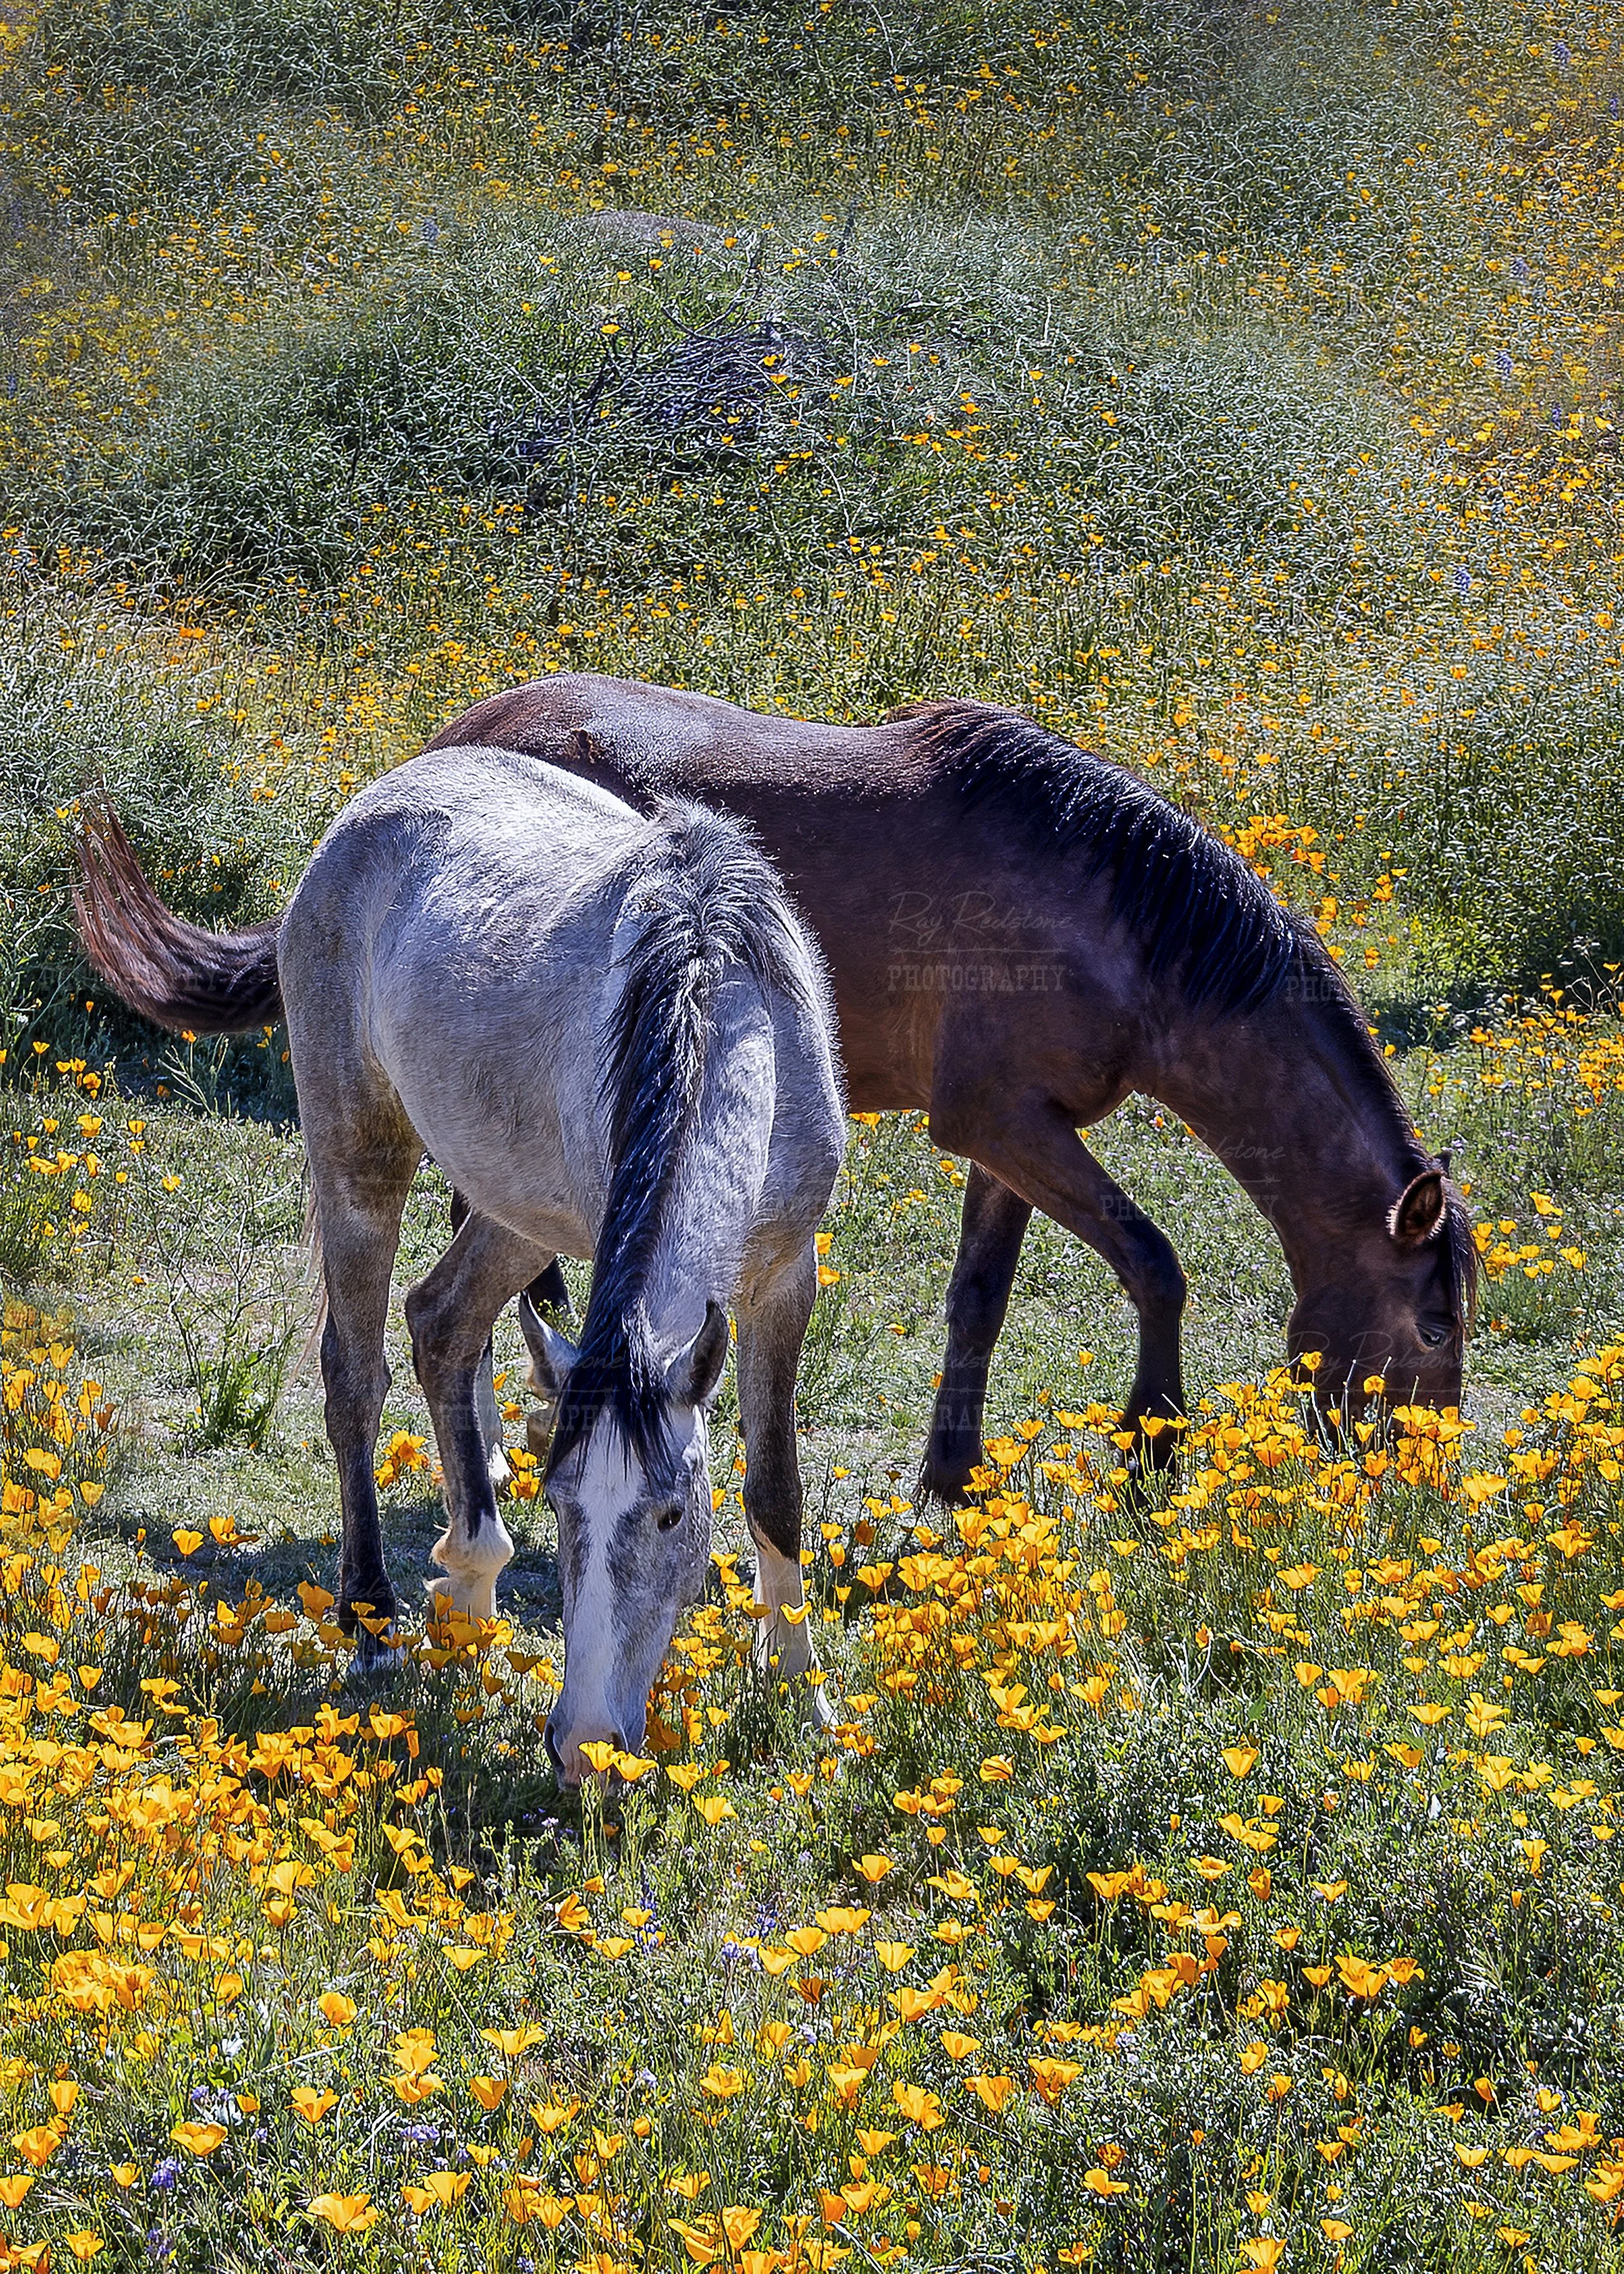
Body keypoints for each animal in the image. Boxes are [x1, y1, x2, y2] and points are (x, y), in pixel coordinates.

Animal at [73, 750, 846, 1783]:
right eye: (562, 1504)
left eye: (673, 1516)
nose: (584, 1746)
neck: (721, 1002)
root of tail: (366, 810)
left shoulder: (786, 1276)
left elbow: (776, 1490)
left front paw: (803, 1698)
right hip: (362, 1158)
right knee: (356, 1375)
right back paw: (376, 1625)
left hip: (514, 1213)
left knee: (442, 1323)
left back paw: (473, 1596)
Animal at [420, 674, 1476, 1493]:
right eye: (1432, 1327)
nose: (1418, 1471)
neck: (1115, 926)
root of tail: (452, 741)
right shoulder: (1000, 1122)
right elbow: (1154, 1264)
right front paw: (1148, 1455)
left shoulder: (1013, 1139)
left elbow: (980, 1299)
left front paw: (955, 1472)